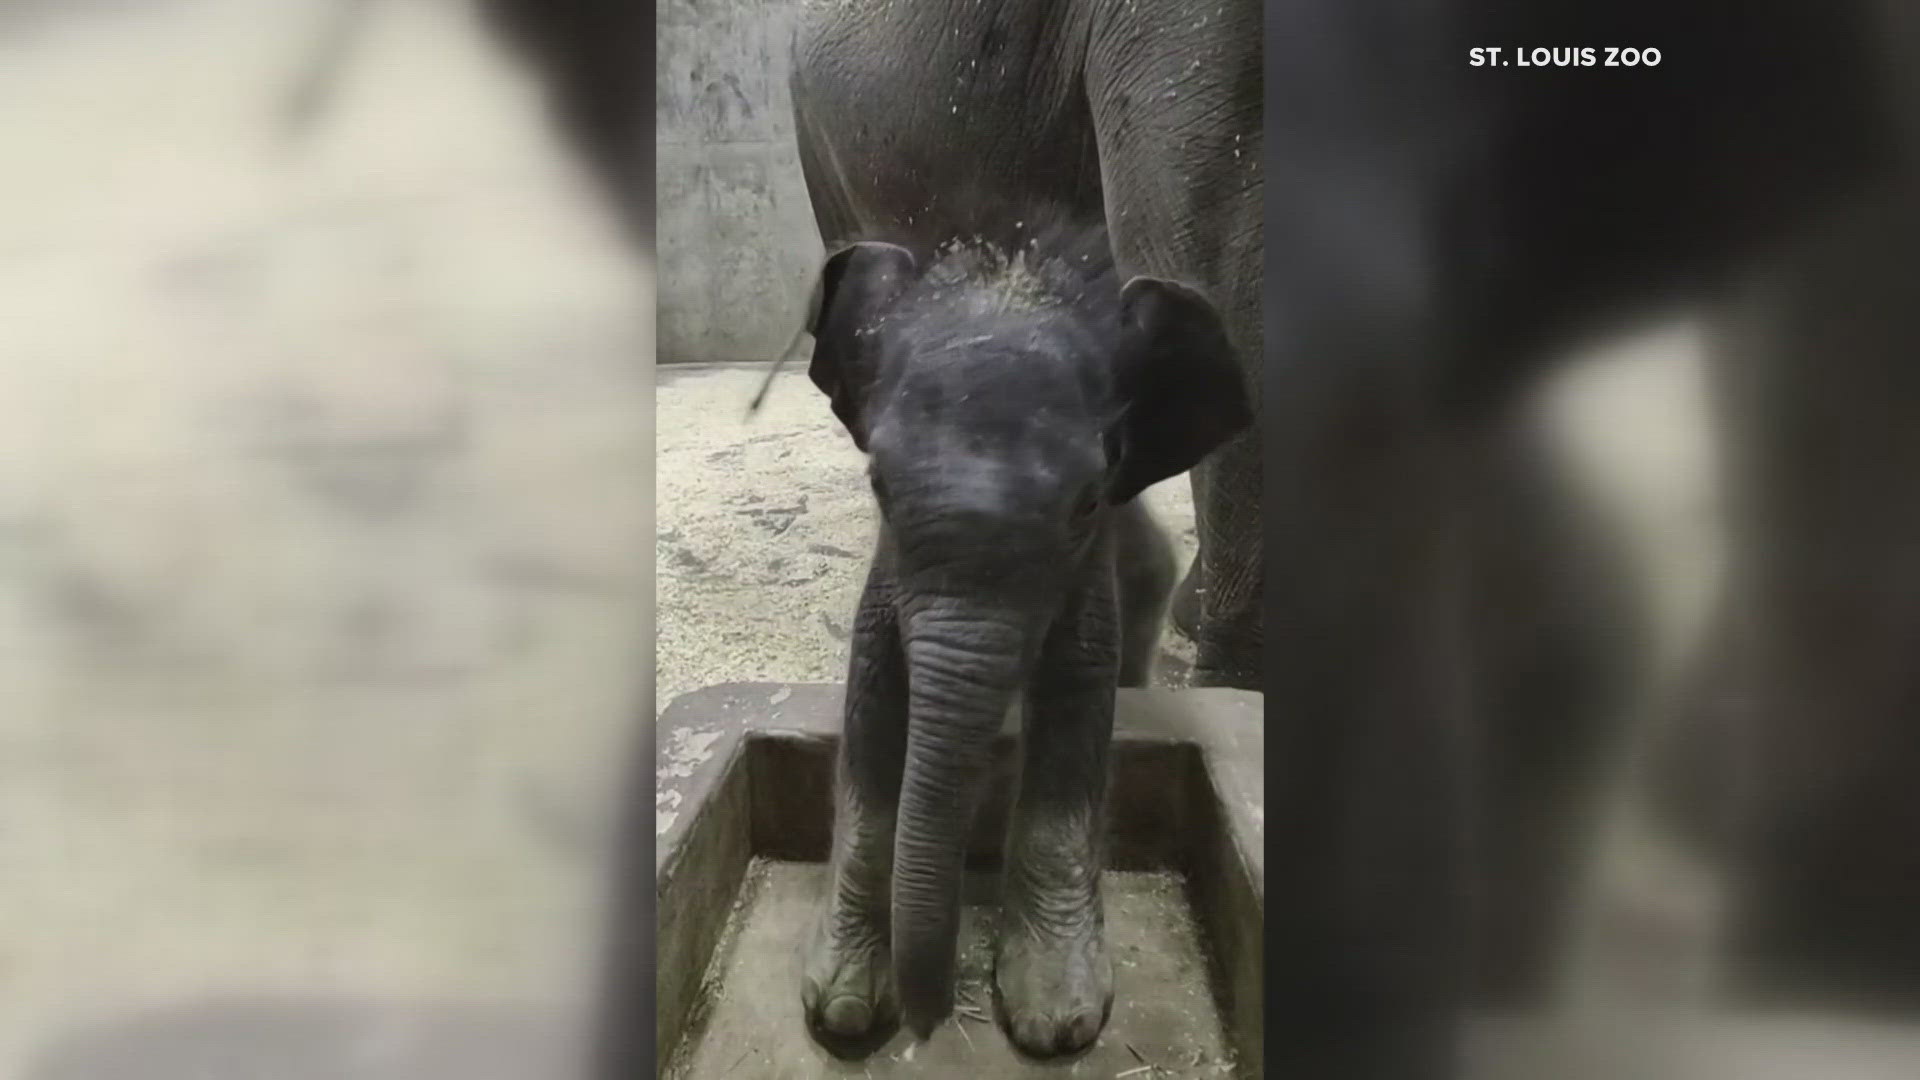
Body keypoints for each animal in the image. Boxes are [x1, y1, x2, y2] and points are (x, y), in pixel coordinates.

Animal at [802, 219, 1251, 1053]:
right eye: (878, 483)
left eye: (1086, 501)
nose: (930, 1026)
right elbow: (873, 693)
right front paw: (843, 1009)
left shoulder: (1086, 571)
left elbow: (1079, 690)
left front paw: (1055, 1022)